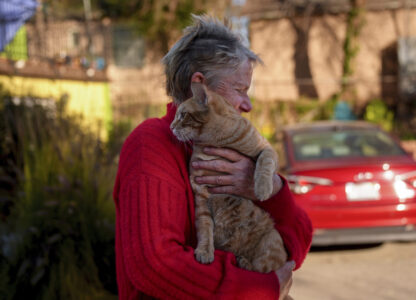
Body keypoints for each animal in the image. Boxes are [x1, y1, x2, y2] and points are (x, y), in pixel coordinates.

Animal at [171, 82, 288, 274]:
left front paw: (262, 189)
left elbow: (264, 164)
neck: (218, 141)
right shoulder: (201, 195)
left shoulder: (266, 148)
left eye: (182, 115)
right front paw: (204, 251)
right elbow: (205, 227)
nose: (171, 127)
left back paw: (244, 262)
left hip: (272, 240)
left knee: (263, 268)